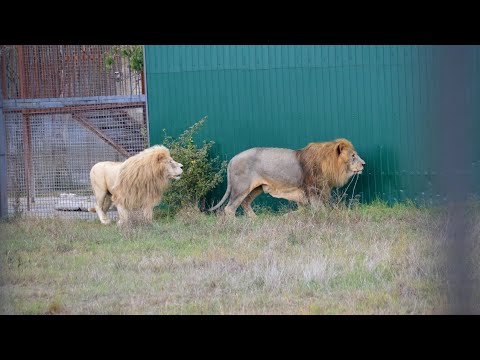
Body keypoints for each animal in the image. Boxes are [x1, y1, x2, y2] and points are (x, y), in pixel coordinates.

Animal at [208, 138, 366, 217]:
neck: (328, 164)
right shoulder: (312, 190)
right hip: (241, 188)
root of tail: (232, 159)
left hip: (256, 188)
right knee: (229, 209)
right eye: (353, 156)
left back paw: (255, 220)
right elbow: (320, 210)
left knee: (245, 203)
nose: (364, 164)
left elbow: (305, 210)